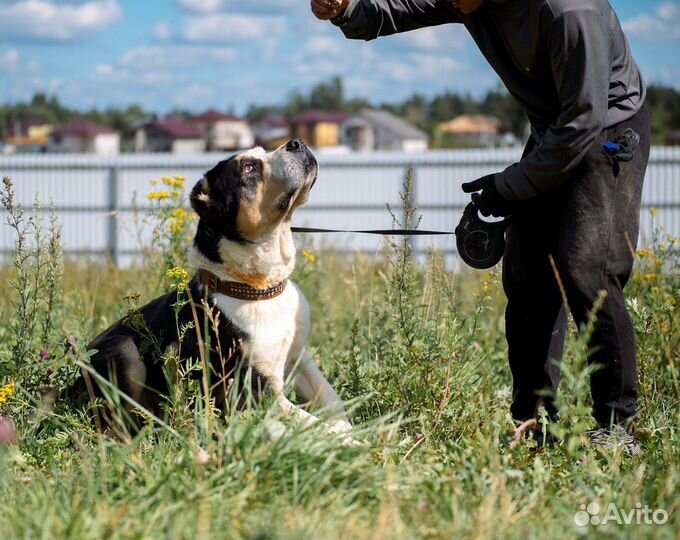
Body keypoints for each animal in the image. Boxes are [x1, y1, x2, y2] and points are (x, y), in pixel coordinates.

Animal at [82, 138, 354, 434]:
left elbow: (331, 399)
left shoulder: (298, 357)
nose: (296, 142)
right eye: (249, 168)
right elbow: (312, 424)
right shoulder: (254, 388)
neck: (257, 288)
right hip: (124, 350)